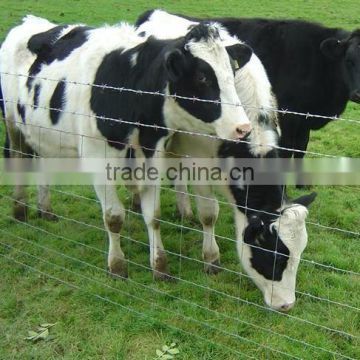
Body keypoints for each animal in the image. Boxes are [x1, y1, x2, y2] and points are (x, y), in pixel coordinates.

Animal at [0, 16, 252, 278]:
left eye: (232, 73)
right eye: (202, 78)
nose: (243, 127)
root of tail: (29, 21)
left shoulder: (152, 155)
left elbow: (154, 216)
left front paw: (159, 265)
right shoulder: (98, 160)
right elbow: (113, 217)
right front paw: (117, 265)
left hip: (43, 134)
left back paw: (45, 209)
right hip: (12, 123)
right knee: (18, 160)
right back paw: (20, 210)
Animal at [136, 9, 316, 310]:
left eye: (299, 254)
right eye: (274, 255)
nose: (286, 305)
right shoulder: (198, 159)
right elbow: (209, 213)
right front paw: (212, 259)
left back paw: (184, 210)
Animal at [136, 9, 360, 158]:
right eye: (349, 60)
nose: (358, 94)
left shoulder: (303, 120)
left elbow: (300, 149)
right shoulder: (289, 117)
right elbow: (288, 150)